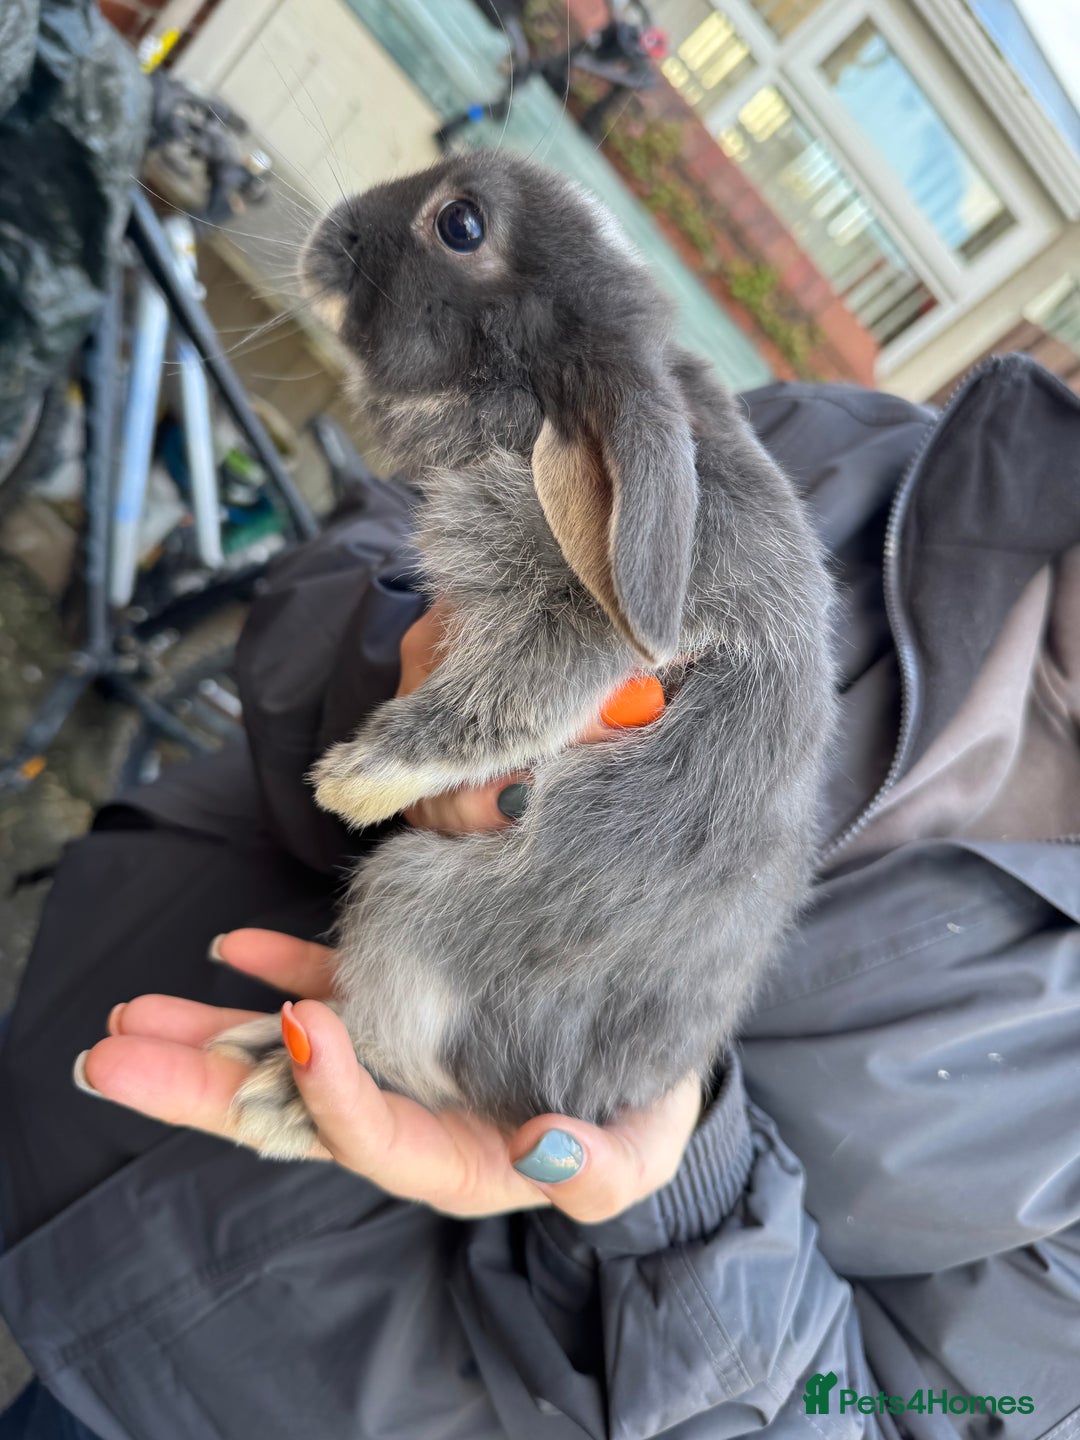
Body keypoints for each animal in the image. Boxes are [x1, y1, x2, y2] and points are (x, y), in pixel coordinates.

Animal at [210, 150, 837, 1158]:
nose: (331, 232)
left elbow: (508, 695)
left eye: (460, 226)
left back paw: (286, 1094)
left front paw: (352, 781)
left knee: (412, 1058)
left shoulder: (586, 627)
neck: (535, 411)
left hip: (411, 907)